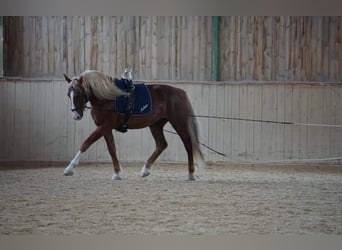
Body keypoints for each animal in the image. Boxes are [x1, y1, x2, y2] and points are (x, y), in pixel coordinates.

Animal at [62, 69, 204, 181]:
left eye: (78, 94)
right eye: (68, 95)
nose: (76, 116)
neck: (107, 98)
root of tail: (180, 92)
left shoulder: (103, 127)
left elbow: (86, 143)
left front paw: (69, 168)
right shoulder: (106, 129)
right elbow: (112, 149)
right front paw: (117, 173)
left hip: (178, 122)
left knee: (187, 143)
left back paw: (190, 173)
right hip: (155, 125)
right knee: (162, 144)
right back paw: (145, 170)